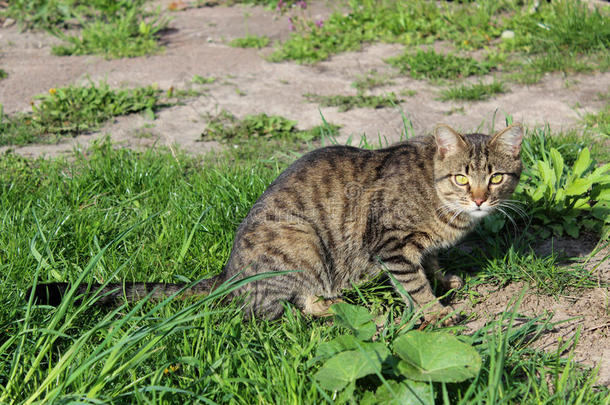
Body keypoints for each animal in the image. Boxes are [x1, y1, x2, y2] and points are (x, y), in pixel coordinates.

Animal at [30, 123, 520, 322]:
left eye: (495, 177)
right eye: (462, 178)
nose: (480, 198)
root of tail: (229, 273)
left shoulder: (418, 246)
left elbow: (429, 265)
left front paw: (445, 279)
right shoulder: (390, 244)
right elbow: (414, 284)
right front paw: (436, 312)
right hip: (301, 243)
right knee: (286, 309)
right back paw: (350, 310)